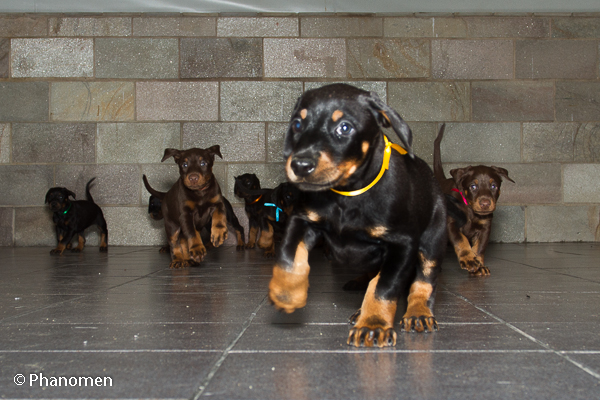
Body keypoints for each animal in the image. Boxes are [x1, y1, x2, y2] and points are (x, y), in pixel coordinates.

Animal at [267, 83, 449, 348]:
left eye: (344, 127)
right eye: (298, 124)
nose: (300, 165)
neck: (347, 196)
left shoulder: (402, 244)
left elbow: (384, 287)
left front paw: (373, 325)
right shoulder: (303, 220)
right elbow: (289, 256)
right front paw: (287, 293)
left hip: (433, 240)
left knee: (424, 281)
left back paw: (418, 314)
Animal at [433, 123, 514, 276]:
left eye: (493, 186)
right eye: (473, 186)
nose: (485, 203)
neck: (470, 209)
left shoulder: (485, 227)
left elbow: (479, 247)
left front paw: (479, 266)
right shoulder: (451, 224)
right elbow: (461, 240)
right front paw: (469, 260)